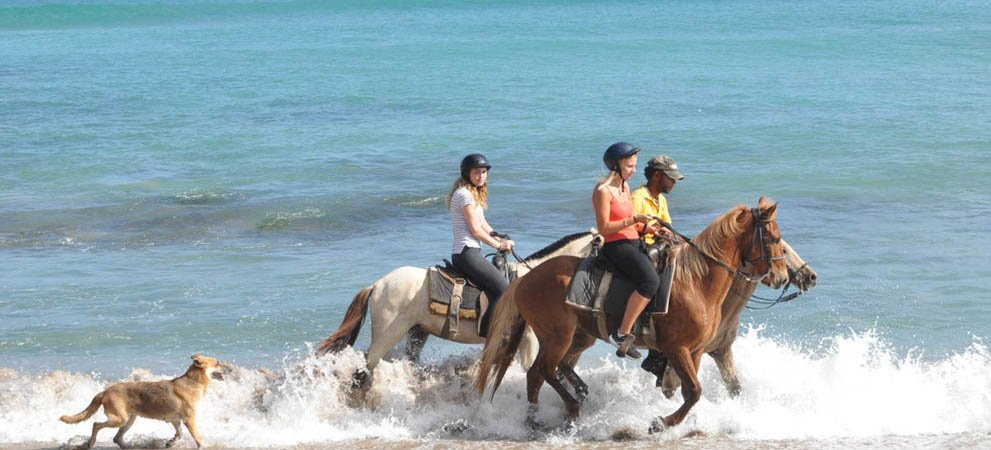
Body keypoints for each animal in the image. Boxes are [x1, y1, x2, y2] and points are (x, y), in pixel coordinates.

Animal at [60, 356, 229, 450]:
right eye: (217, 363)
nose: (232, 370)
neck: (194, 381)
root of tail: (105, 391)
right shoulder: (190, 419)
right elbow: (198, 437)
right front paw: (203, 446)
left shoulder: (175, 420)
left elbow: (179, 434)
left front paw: (170, 443)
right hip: (120, 419)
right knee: (96, 425)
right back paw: (91, 443)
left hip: (129, 420)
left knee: (116, 438)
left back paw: (129, 447)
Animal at [478, 198, 792, 432]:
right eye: (774, 238)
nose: (780, 276)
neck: (697, 281)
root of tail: (525, 278)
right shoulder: (677, 348)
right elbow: (694, 391)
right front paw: (661, 423)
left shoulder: (696, 350)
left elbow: (690, 390)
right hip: (557, 337)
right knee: (543, 370)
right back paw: (570, 409)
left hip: (579, 336)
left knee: (539, 374)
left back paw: (535, 419)